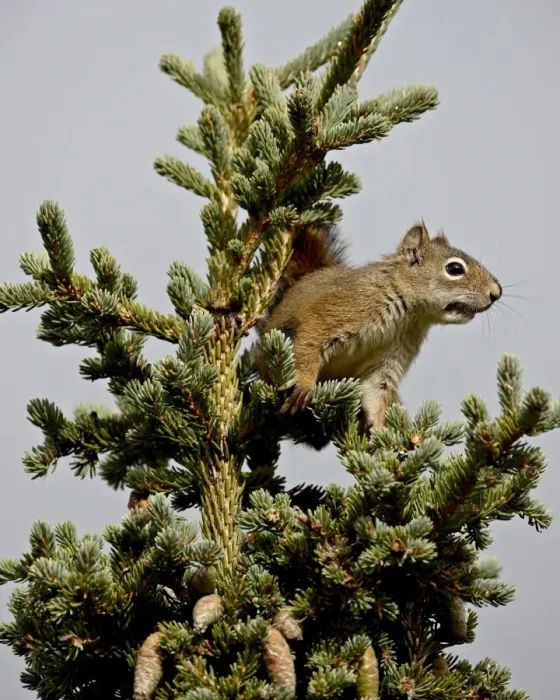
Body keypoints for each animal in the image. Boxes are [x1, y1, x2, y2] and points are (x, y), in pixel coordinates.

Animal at [258, 221, 502, 431]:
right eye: (454, 269)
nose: (496, 293)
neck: (407, 316)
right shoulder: (336, 311)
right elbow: (310, 339)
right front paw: (303, 384)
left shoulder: (391, 357)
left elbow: (376, 391)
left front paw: (381, 431)